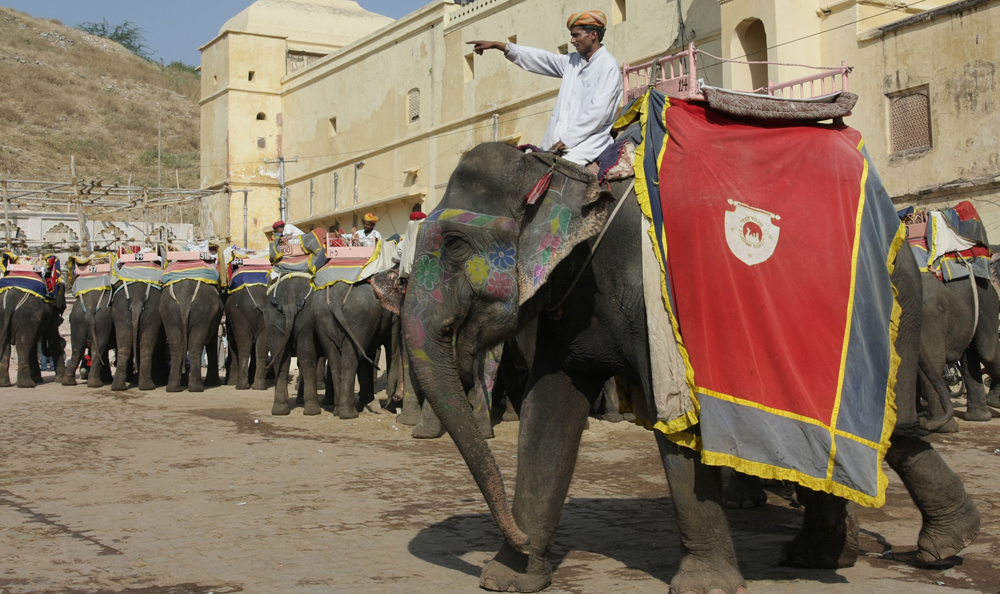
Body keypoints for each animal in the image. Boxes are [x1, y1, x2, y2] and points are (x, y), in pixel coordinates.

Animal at [390, 142, 976, 592]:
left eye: (456, 244)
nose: (515, 535)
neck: (569, 179)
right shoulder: (569, 302)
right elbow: (548, 412)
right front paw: (510, 577)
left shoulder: (654, 300)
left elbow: (676, 422)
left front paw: (704, 587)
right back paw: (836, 555)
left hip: (891, 307)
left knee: (885, 429)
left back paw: (937, 546)